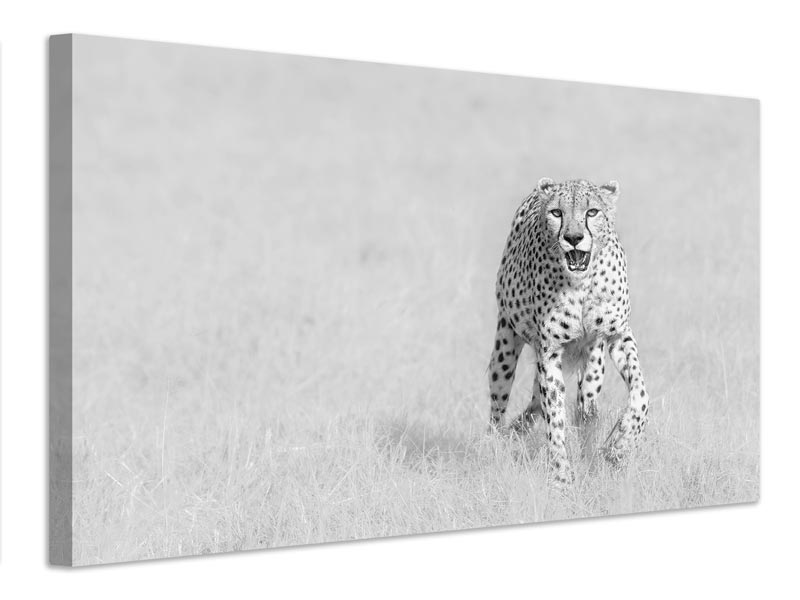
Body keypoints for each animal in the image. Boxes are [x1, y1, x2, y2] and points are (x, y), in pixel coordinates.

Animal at [488, 177, 649, 484]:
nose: (573, 237)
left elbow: (641, 394)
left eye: (592, 212)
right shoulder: (549, 352)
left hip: (593, 363)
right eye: (557, 213)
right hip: (504, 349)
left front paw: (620, 444)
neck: (582, 282)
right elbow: (555, 418)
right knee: (499, 407)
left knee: (581, 406)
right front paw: (562, 477)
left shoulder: (618, 335)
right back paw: (495, 445)